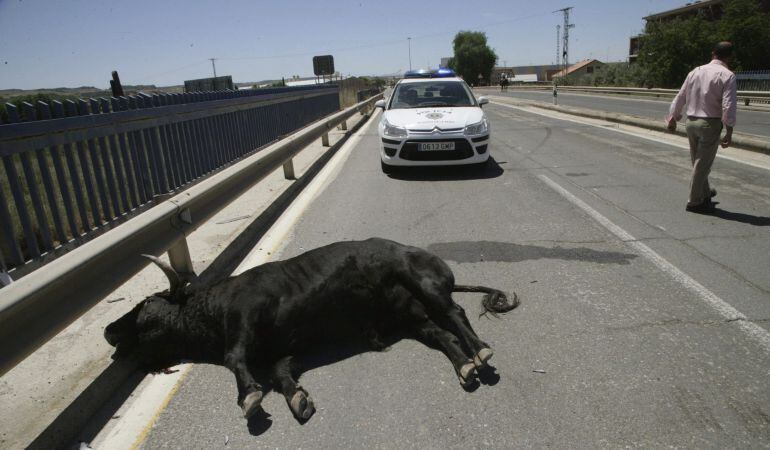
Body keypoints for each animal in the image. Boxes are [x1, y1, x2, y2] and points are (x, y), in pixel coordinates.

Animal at [105, 239, 520, 422]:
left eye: (145, 305)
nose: (109, 332)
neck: (214, 306)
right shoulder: (286, 350)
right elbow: (279, 372)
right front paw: (297, 398)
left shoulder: (245, 316)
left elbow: (234, 357)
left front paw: (249, 397)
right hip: (412, 318)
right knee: (443, 334)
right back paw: (465, 366)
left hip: (423, 283)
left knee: (456, 313)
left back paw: (481, 351)